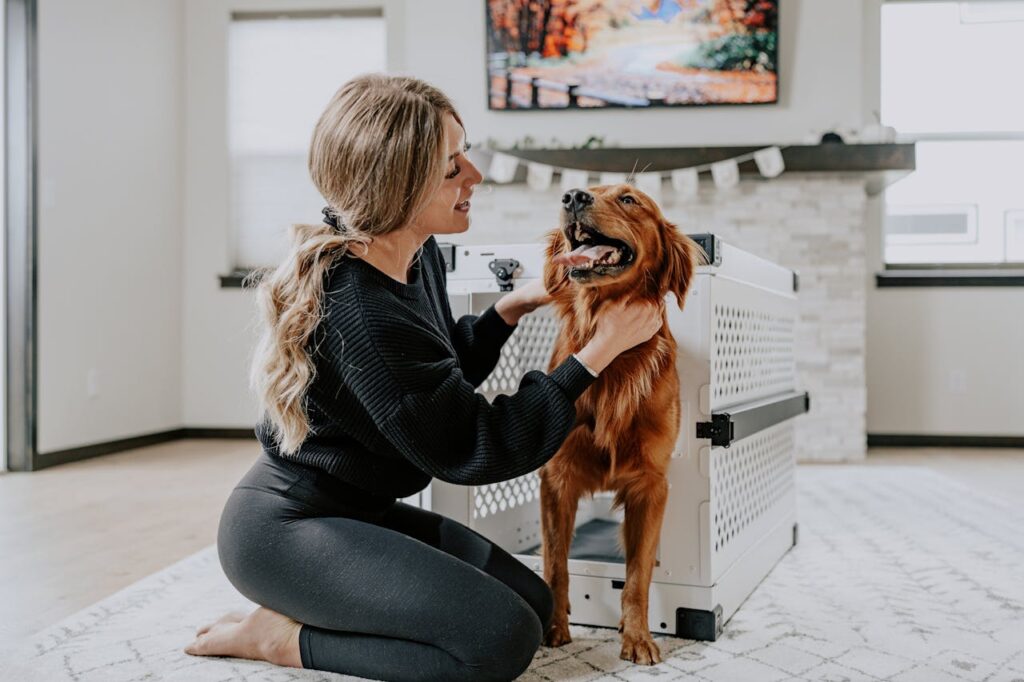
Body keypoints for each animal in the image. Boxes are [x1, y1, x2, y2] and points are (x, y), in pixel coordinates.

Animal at [540, 183, 700, 659]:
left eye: (630, 200)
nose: (572, 196)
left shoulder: (650, 484)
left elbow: (638, 576)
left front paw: (638, 638)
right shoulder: (557, 478)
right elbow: (555, 564)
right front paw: (555, 629)